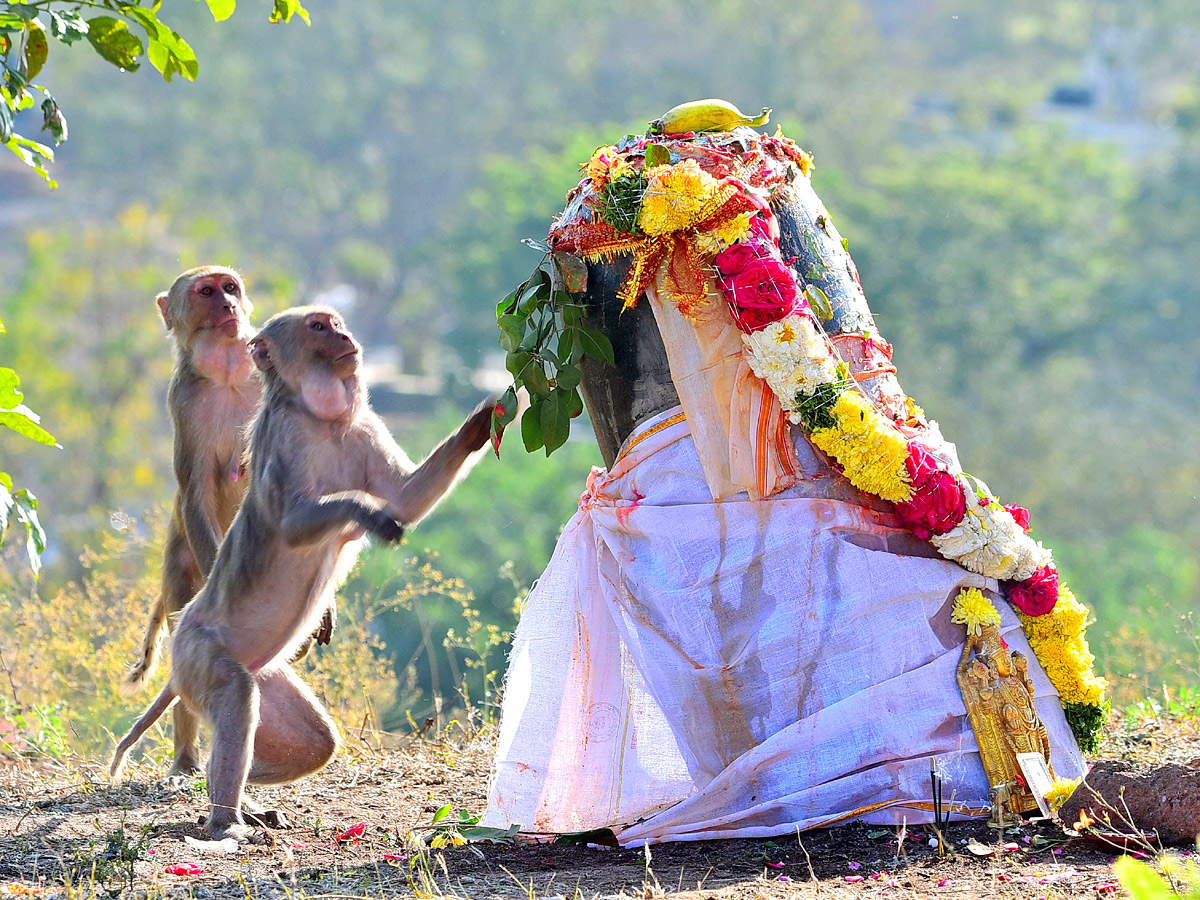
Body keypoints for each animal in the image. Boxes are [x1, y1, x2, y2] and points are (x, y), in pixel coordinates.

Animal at [108, 307, 492, 844]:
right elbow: (294, 524)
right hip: (199, 656)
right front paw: (365, 511)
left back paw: (238, 798)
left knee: (312, 740)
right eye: (318, 327)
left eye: (335, 322)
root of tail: (180, 643)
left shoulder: (364, 428)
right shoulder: (286, 439)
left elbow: (406, 498)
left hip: (265, 670)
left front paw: (482, 422)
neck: (320, 418)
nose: (346, 336)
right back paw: (226, 819)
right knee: (238, 697)